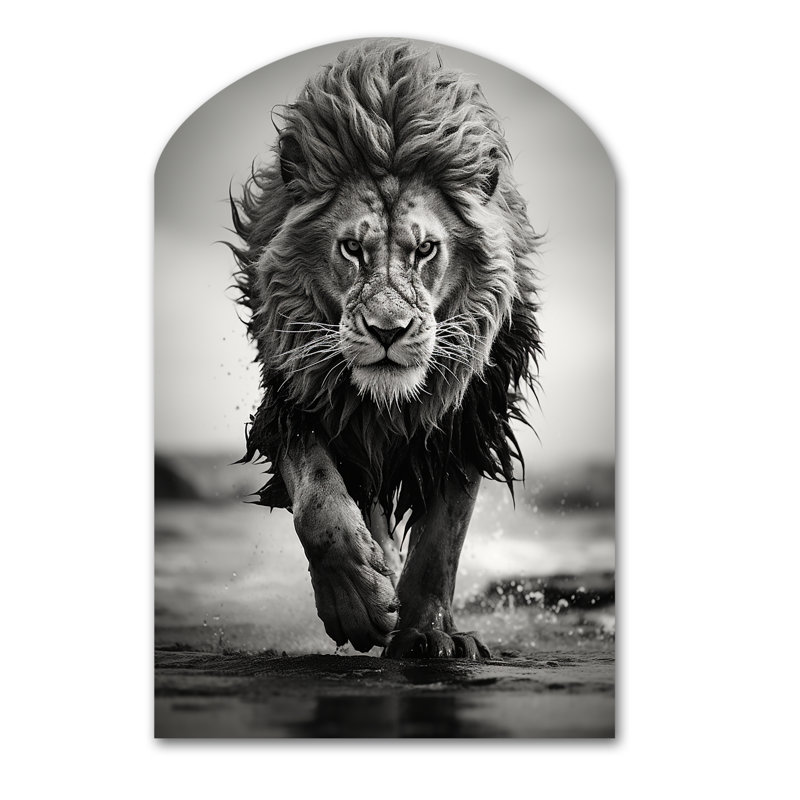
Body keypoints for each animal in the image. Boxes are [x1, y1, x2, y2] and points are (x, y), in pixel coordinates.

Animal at [229, 40, 541, 659]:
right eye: (352, 248)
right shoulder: (297, 399)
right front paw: (356, 602)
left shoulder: (470, 416)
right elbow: (320, 503)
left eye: (425, 250)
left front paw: (426, 632)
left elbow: (442, 540)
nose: (387, 331)